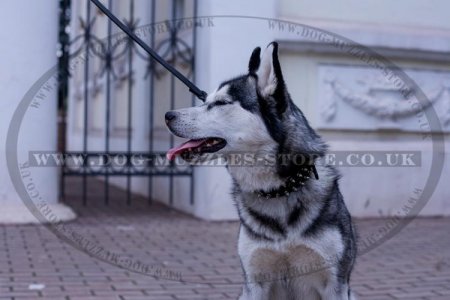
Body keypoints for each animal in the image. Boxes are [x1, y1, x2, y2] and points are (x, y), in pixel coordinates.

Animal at [164, 42, 356, 300]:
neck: (278, 190)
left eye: (221, 103)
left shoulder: (335, 284)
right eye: (206, 100)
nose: (168, 116)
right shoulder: (254, 281)